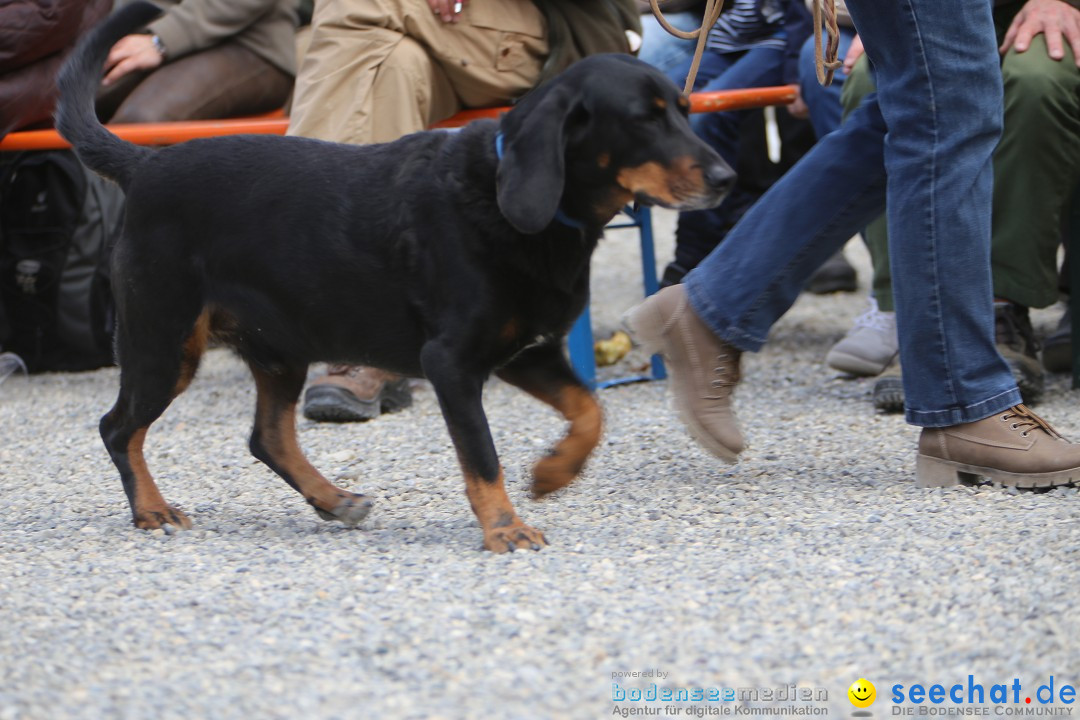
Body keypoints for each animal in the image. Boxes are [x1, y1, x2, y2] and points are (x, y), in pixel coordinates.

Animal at [59, 1, 734, 552]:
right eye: (644, 119)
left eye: (683, 109)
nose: (727, 178)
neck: (502, 202)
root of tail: (145, 164)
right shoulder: (452, 363)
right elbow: (482, 454)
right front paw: (505, 528)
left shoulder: (524, 351)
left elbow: (590, 409)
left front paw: (551, 474)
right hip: (164, 341)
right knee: (118, 427)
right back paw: (152, 509)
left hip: (277, 346)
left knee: (267, 437)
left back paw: (333, 499)